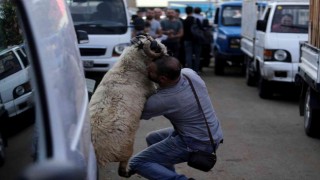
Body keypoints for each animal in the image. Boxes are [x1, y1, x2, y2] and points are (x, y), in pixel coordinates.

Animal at [88, 34, 168, 177]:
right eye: (156, 47)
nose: (167, 53)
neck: (128, 66)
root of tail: (99, 153)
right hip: (125, 149)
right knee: (122, 169)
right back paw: (131, 171)